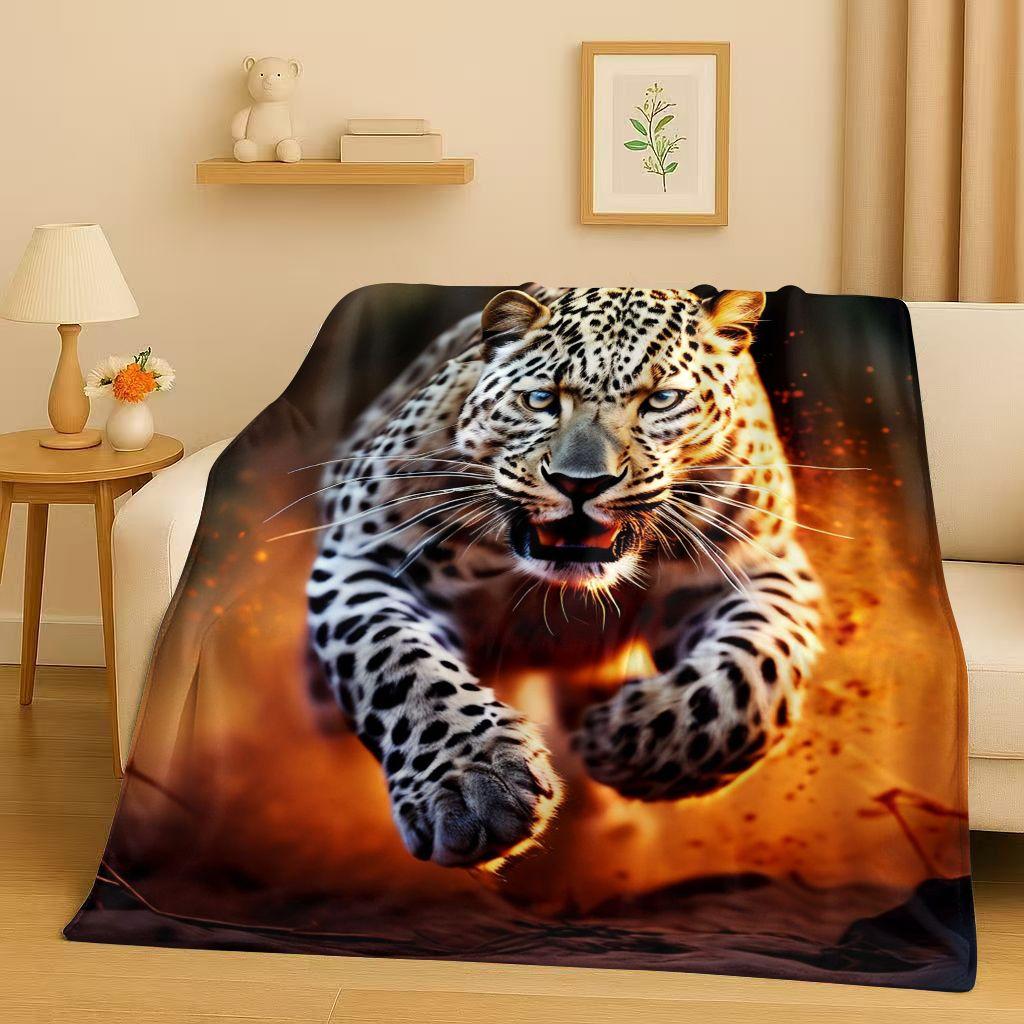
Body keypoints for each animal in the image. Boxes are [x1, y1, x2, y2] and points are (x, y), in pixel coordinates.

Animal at [306, 285, 823, 869]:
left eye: (662, 401)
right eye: (540, 400)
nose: (581, 483)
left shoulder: (759, 566)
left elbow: (750, 679)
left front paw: (623, 742)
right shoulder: (365, 555)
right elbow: (399, 666)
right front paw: (471, 788)